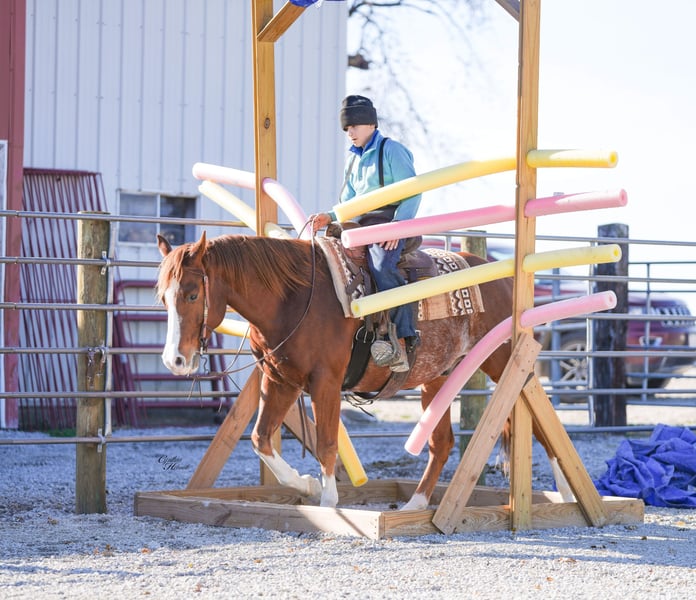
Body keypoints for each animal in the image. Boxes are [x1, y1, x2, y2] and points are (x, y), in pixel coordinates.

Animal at [156, 231, 566, 509]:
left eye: (192, 294)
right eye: (162, 297)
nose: (174, 360)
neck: (293, 299)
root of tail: (504, 278)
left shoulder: (325, 382)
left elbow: (326, 442)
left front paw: (327, 503)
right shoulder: (281, 380)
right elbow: (261, 438)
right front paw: (306, 485)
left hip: (506, 360)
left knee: (539, 419)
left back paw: (564, 490)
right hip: (438, 378)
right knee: (441, 443)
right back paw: (416, 505)